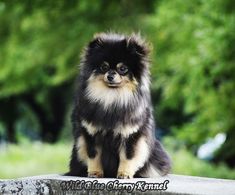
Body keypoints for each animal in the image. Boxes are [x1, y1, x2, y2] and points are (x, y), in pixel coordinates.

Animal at [66, 32, 171, 178]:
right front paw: (95, 173)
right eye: (104, 67)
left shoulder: (130, 135)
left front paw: (124, 174)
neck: (112, 97)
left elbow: (127, 157)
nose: (110, 75)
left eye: (122, 69)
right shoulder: (91, 134)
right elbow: (93, 155)